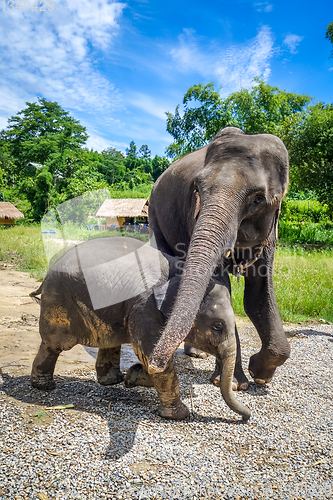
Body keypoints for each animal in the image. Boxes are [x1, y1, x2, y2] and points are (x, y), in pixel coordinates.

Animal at [30, 236, 249, 420]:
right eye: (218, 326)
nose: (247, 417)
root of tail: (48, 271)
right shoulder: (146, 307)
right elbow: (149, 353)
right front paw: (180, 415)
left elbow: (153, 358)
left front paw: (132, 377)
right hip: (59, 300)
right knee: (55, 344)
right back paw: (44, 386)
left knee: (110, 340)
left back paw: (113, 381)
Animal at [148, 124, 290, 386]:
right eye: (197, 189)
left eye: (258, 199)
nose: (154, 365)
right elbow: (220, 288)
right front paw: (235, 382)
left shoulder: (270, 234)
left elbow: (258, 295)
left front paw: (259, 375)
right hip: (154, 214)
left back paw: (198, 353)